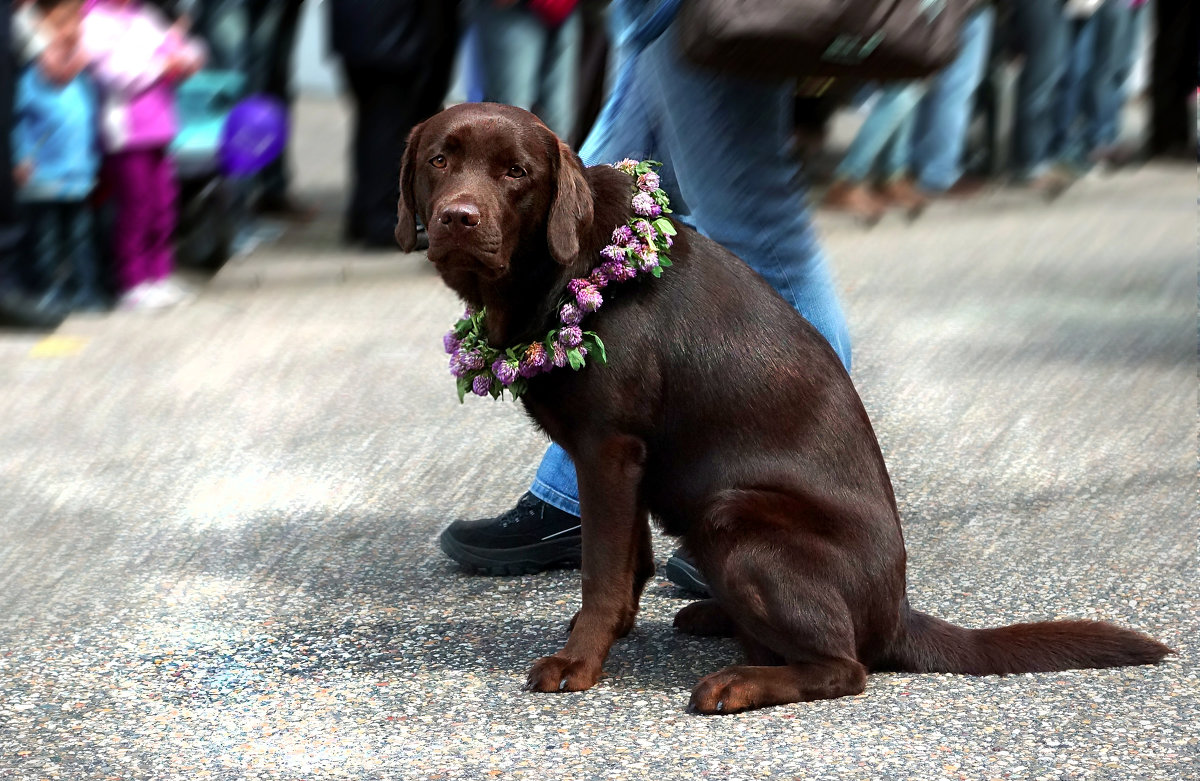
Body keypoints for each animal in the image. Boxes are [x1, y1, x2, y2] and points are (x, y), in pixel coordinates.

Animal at [396, 102, 1171, 715]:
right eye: (440, 159)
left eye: (516, 172)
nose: (458, 218)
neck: (571, 270)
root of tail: (899, 615)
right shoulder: (621, 458)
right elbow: (628, 561)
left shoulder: (608, 446)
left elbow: (603, 570)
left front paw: (579, 662)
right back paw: (717, 619)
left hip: (732, 515)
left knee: (847, 668)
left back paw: (737, 681)